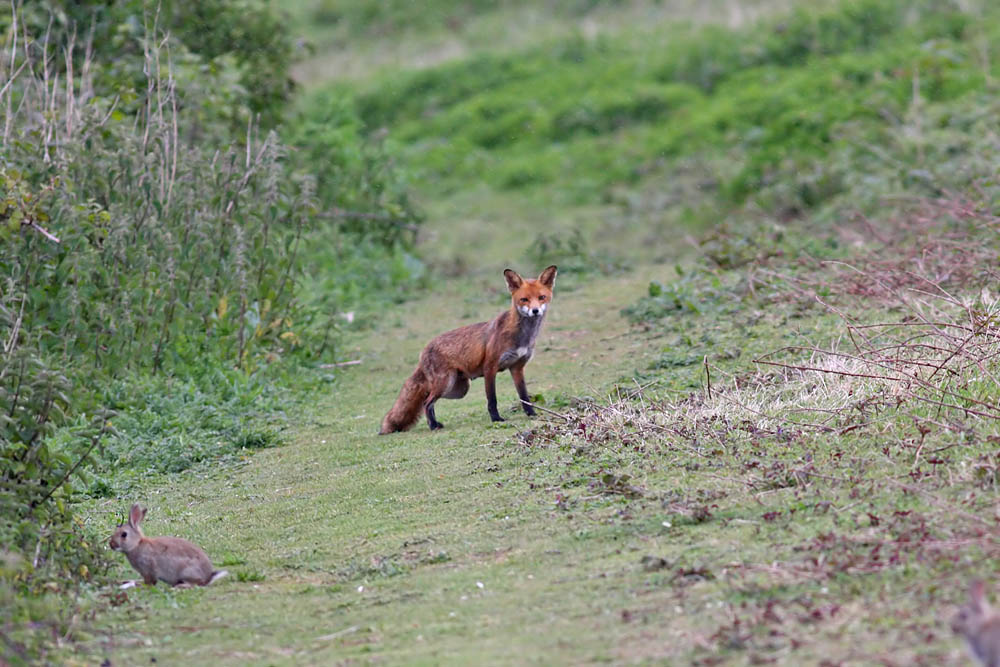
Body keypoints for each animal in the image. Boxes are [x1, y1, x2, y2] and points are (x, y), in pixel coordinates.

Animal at [380, 265, 558, 434]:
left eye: (541, 297)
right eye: (524, 299)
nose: (535, 311)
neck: (522, 335)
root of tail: (424, 350)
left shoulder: (517, 368)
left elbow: (524, 396)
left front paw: (532, 414)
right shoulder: (490, 367)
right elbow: (492, 399)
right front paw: (496, 419)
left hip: (458, 389)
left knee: (427, 401)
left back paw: (435, 423)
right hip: (446, 384)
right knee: (426, 402)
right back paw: (433, 426)